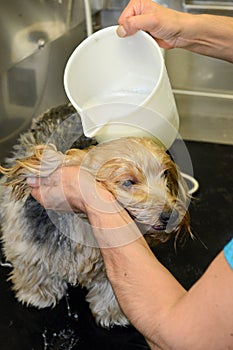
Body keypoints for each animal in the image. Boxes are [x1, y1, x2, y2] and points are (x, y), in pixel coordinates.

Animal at [0, 104, 191, 328]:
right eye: (129, 182)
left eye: (165, 176)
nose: (172, 215)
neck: (83, 226)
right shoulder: (27, 240)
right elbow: (33, 264)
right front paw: (37, 293)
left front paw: (113, 312)